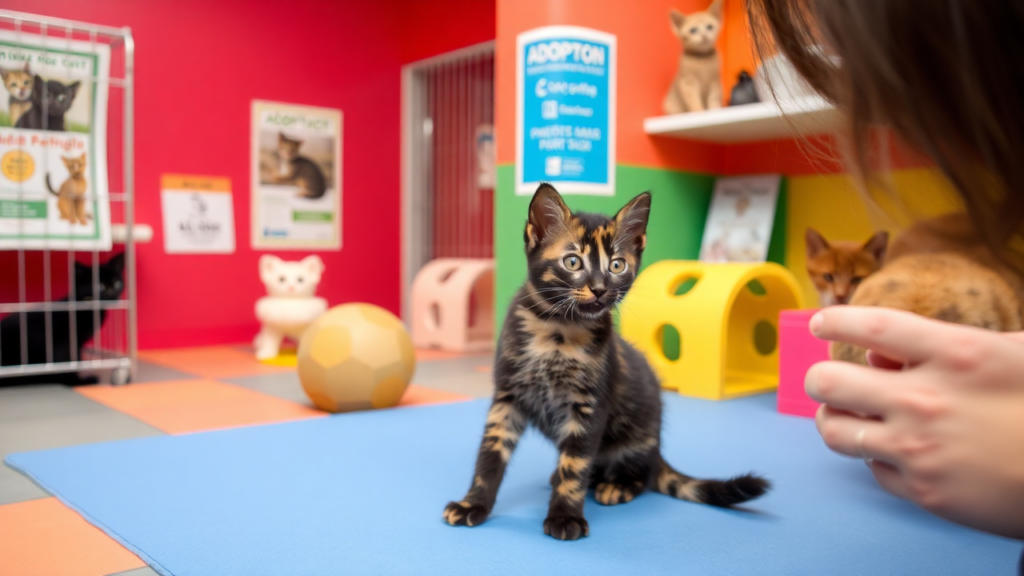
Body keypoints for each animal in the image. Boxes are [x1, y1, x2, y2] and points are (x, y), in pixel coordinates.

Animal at [440, 182, 770, 537]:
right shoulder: (507, 396)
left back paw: (618, 485)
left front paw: (565, 516)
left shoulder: (589, 405)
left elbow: (575, 464)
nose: (599, 288)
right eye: (572, 262)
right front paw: (473, 504)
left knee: (641, 475)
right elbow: (490, 454)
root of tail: (658, 451)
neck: (557, 332)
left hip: (636, 438)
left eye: (617, 265)